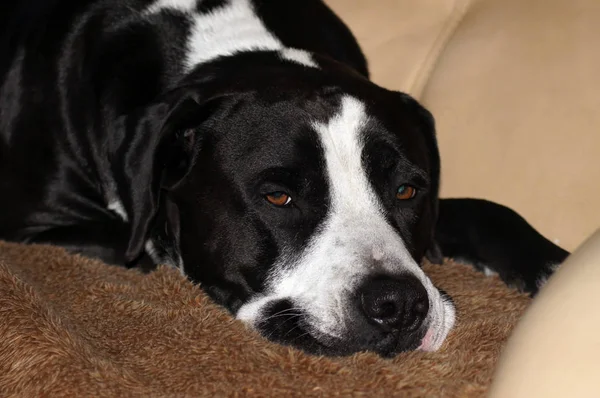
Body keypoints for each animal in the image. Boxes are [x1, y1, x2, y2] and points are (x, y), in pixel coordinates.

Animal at [0, 0, 568, 356]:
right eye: (278, 197)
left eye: (407, 190)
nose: (400, 306)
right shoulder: (36, 228)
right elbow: (144, 249)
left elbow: (480, 208)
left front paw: (549, 264)